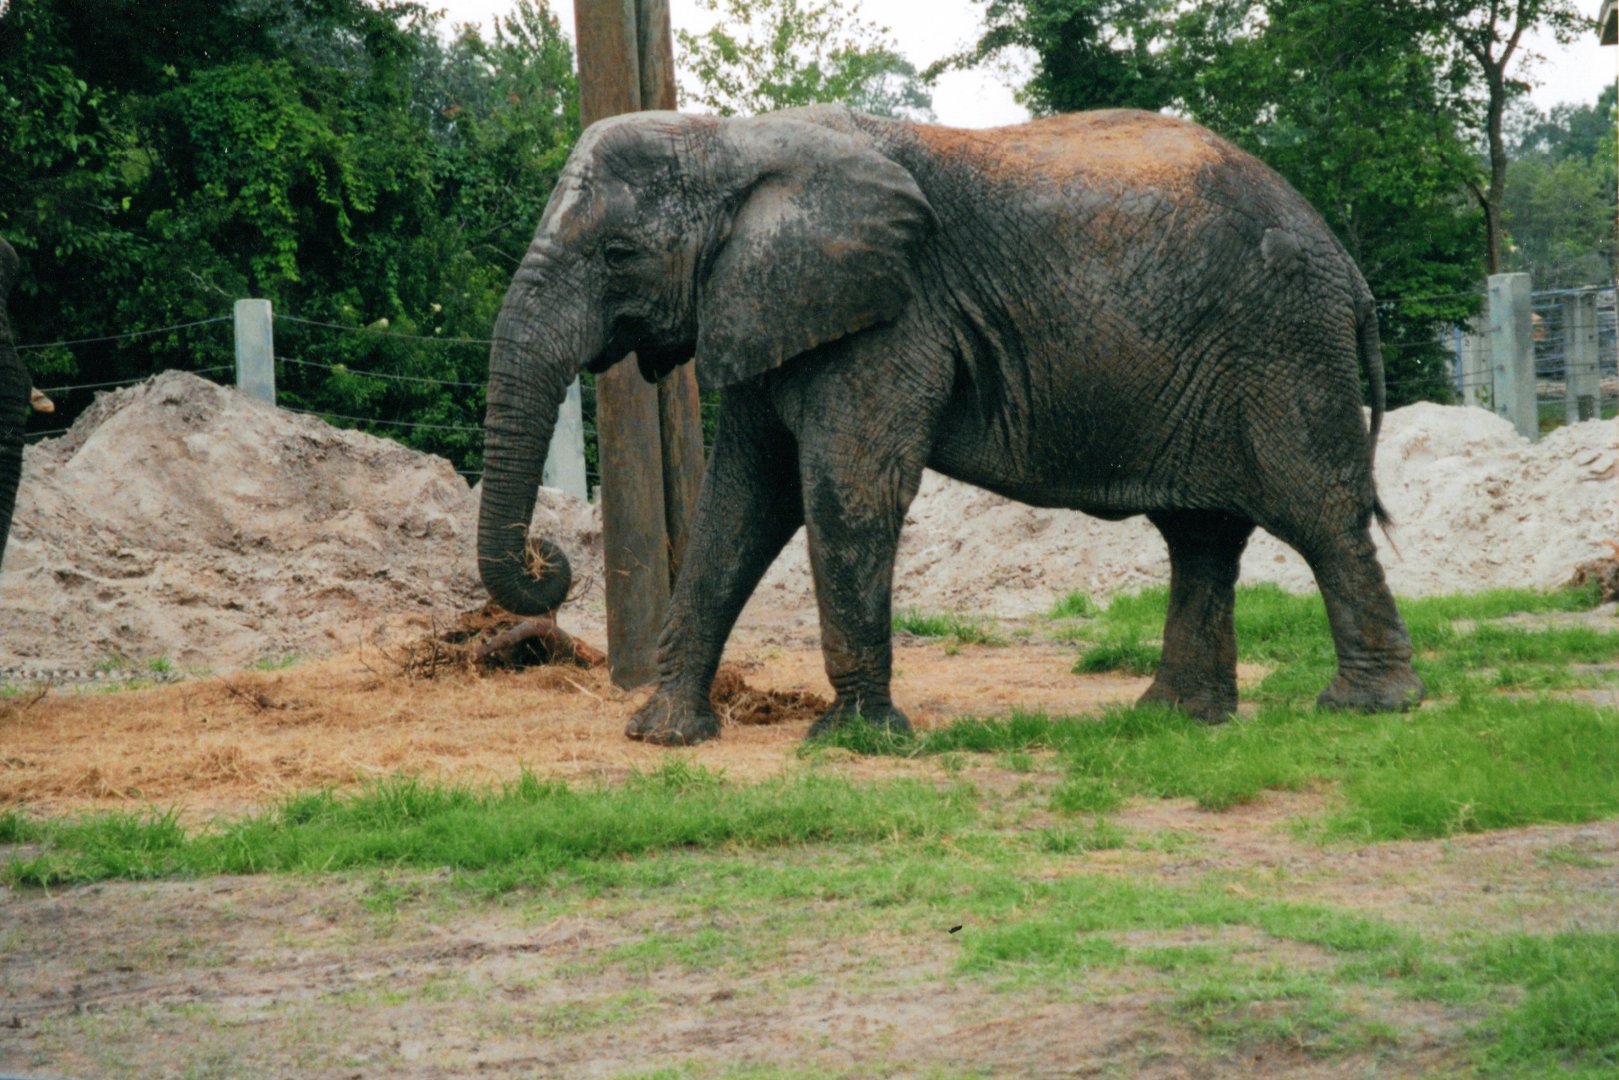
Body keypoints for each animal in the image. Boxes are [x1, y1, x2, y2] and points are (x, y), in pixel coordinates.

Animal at [476, 106, 1425, 746]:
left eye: (617, 256)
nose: (547, 561)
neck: (732, 139)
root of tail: (1345, 264)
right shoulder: (772, 305)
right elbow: (738, 506)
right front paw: (665, 734)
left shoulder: (888, 317)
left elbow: (844, 493)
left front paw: (855, 742)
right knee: (1201, 537)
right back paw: (1174, 719)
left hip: (1281, 346)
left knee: (1317, 516)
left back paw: (1367, 709)